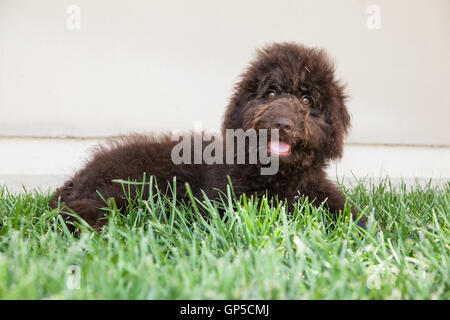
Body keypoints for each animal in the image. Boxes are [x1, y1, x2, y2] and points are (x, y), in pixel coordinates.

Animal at [51, 42, 366, 230]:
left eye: (306, 100)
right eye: (271, 93)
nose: (282, 123)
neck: (277, 176)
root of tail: (78, 178)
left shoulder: (319, 192)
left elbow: (352, 215)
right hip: (125, 188)